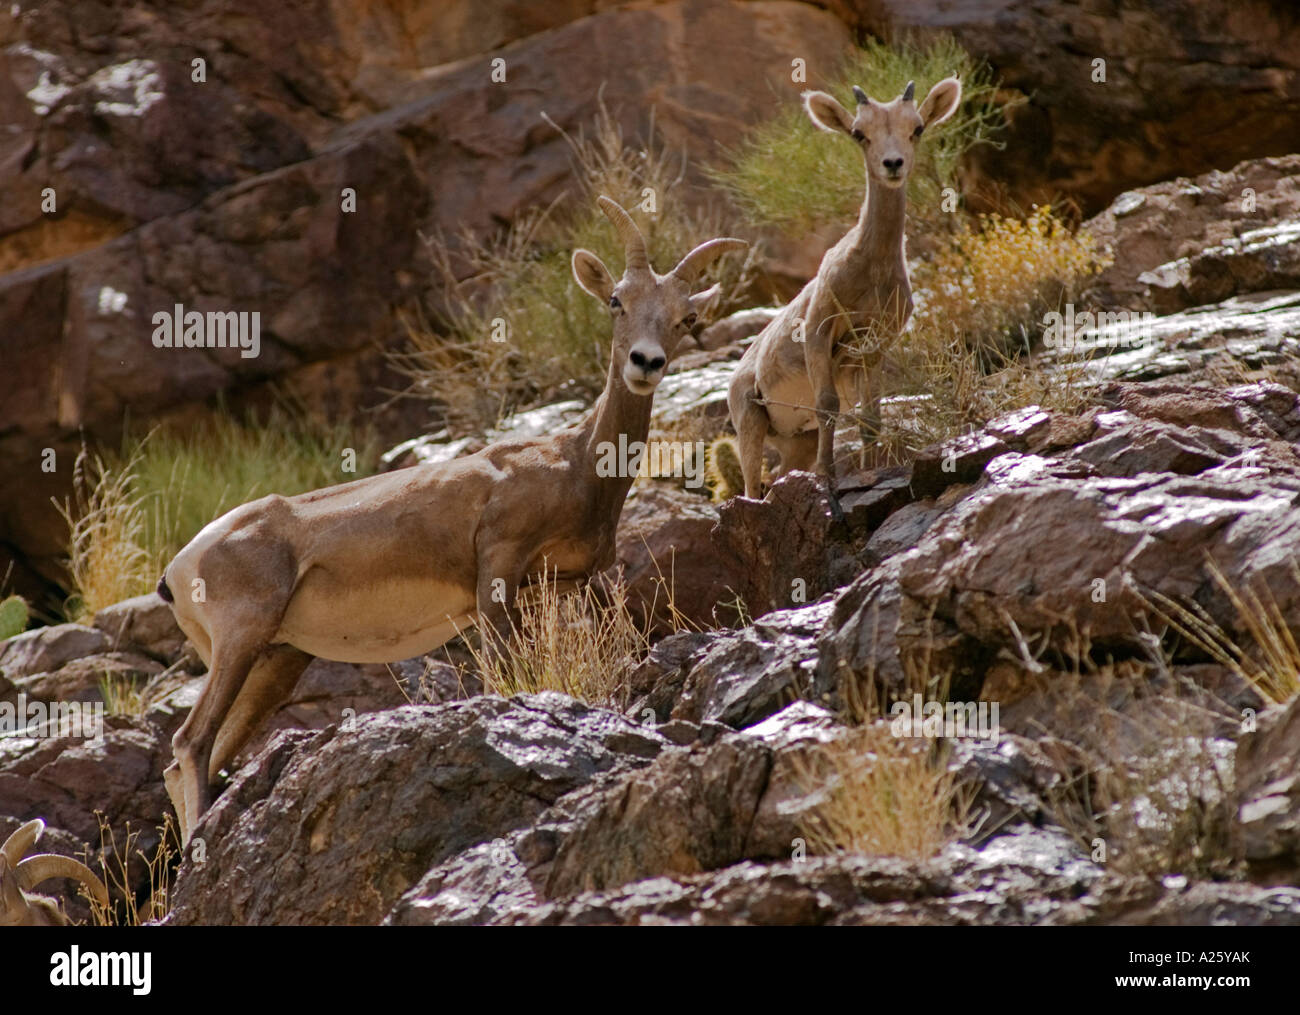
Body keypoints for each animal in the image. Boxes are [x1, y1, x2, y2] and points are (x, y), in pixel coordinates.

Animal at [157, 193, 748, 842]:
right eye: (617, 299)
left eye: (685, 317)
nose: (646, 362)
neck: (570, 461)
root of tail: (182, 565)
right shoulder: (497, 577)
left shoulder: (556, 590)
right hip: (241, 642)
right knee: (191, 744)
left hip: (274, 662)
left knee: (192, 761)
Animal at [728, 76, 961, 499]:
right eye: (859, 133)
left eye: (917, 128)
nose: (893, 164)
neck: (870, 272)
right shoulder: (819, 334)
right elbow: (827, 405)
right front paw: (829, 478)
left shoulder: (873, 350)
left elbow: (870, 418)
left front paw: (870, 473)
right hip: (749, 423)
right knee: (752, 486)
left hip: (795, 442)